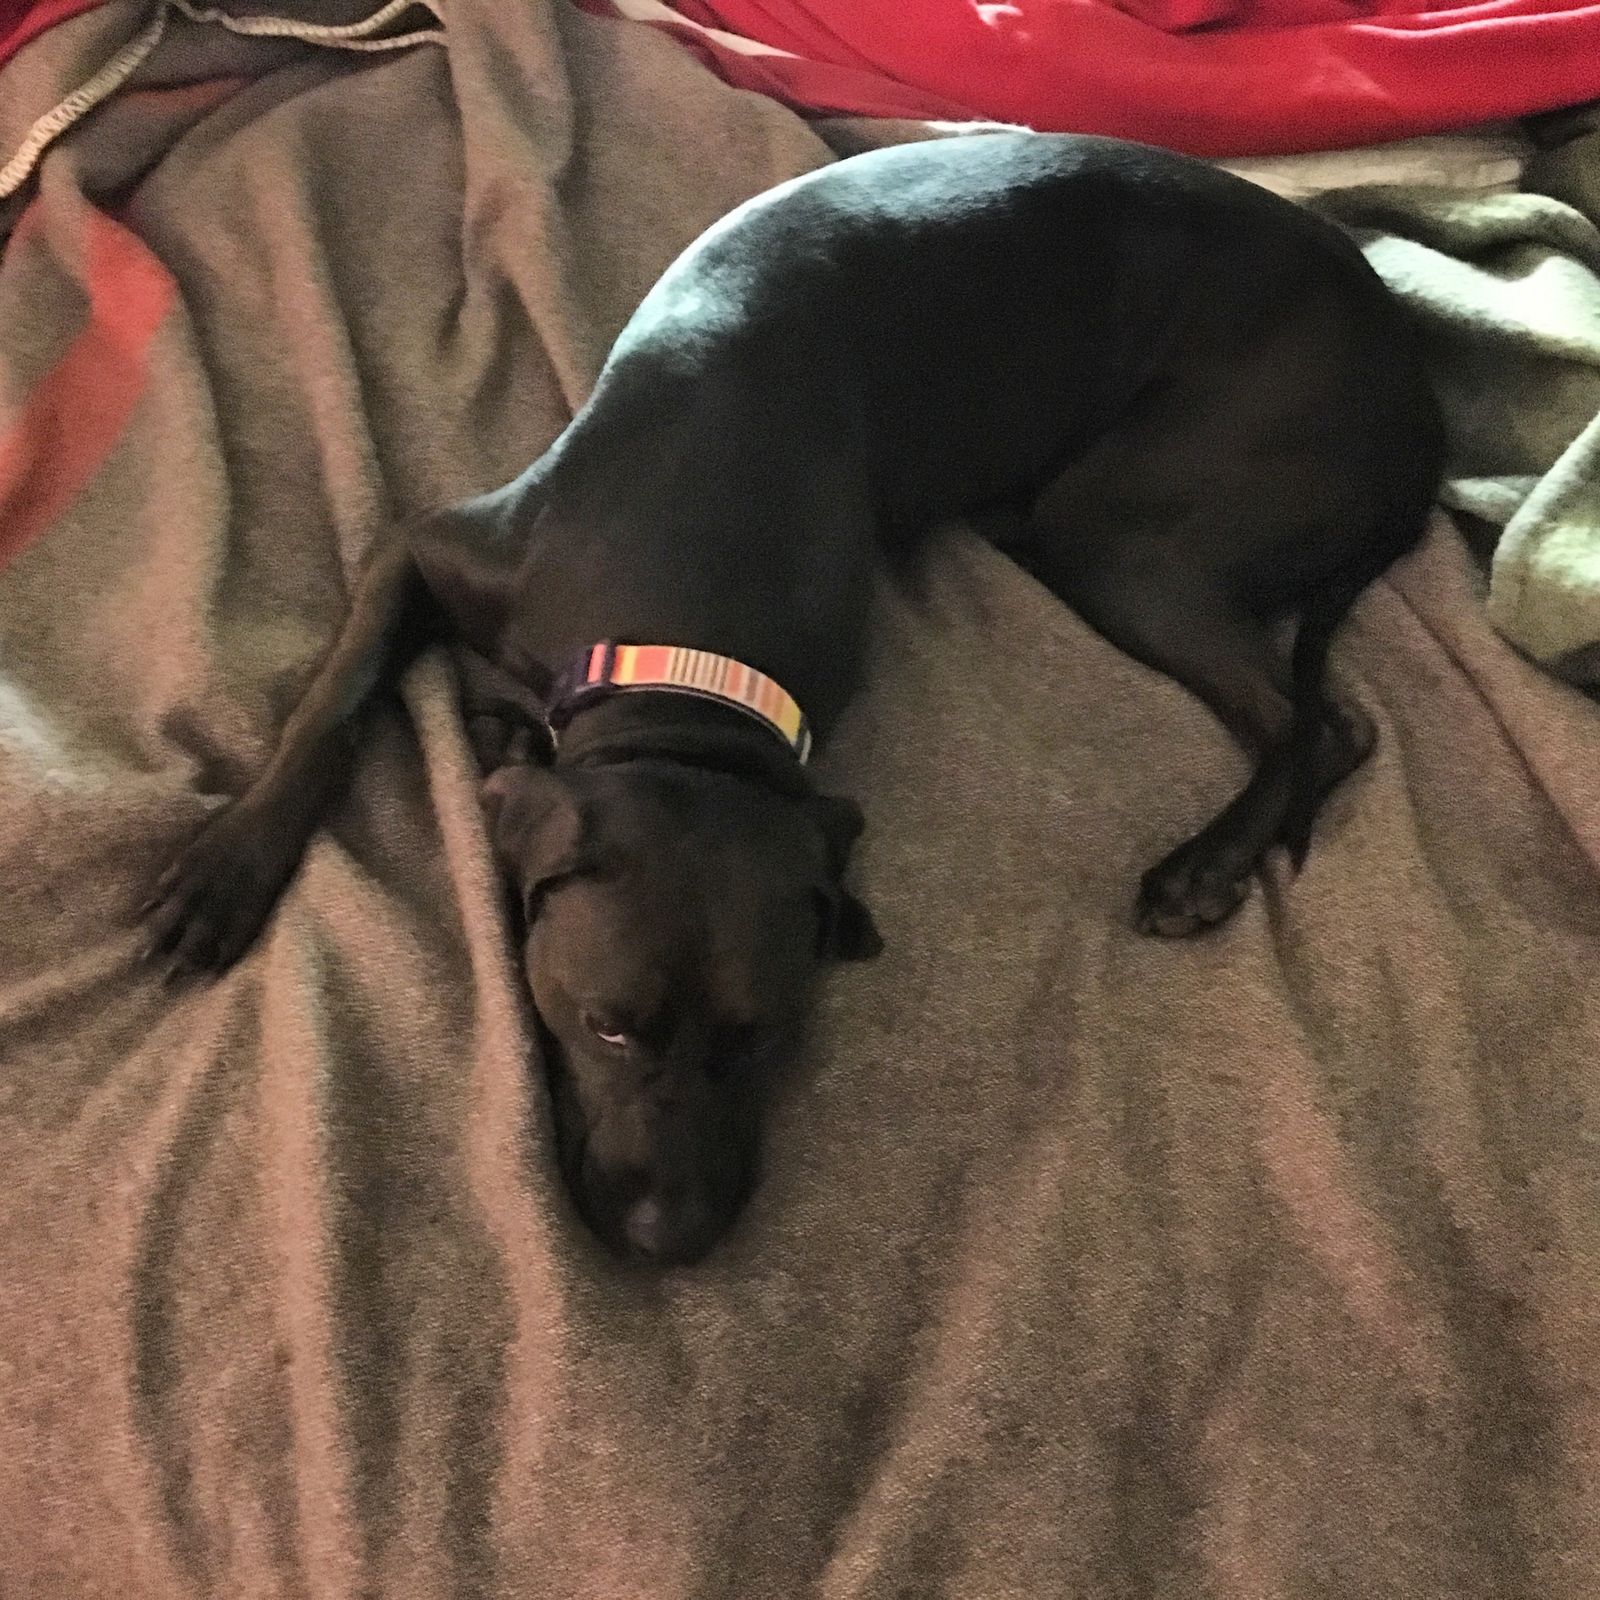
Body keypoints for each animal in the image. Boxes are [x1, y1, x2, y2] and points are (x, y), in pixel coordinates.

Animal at [139, 132, 1445, 1265]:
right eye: (607, 1024)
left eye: (760, 1032)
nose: (670, 1238)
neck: (688, 644)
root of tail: (1419, 386)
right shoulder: (429, 547)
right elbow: (336, 696)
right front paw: (232, 869)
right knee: (1329, 717)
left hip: (1121, 526)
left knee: (1316, 720)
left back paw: (1203, 867)